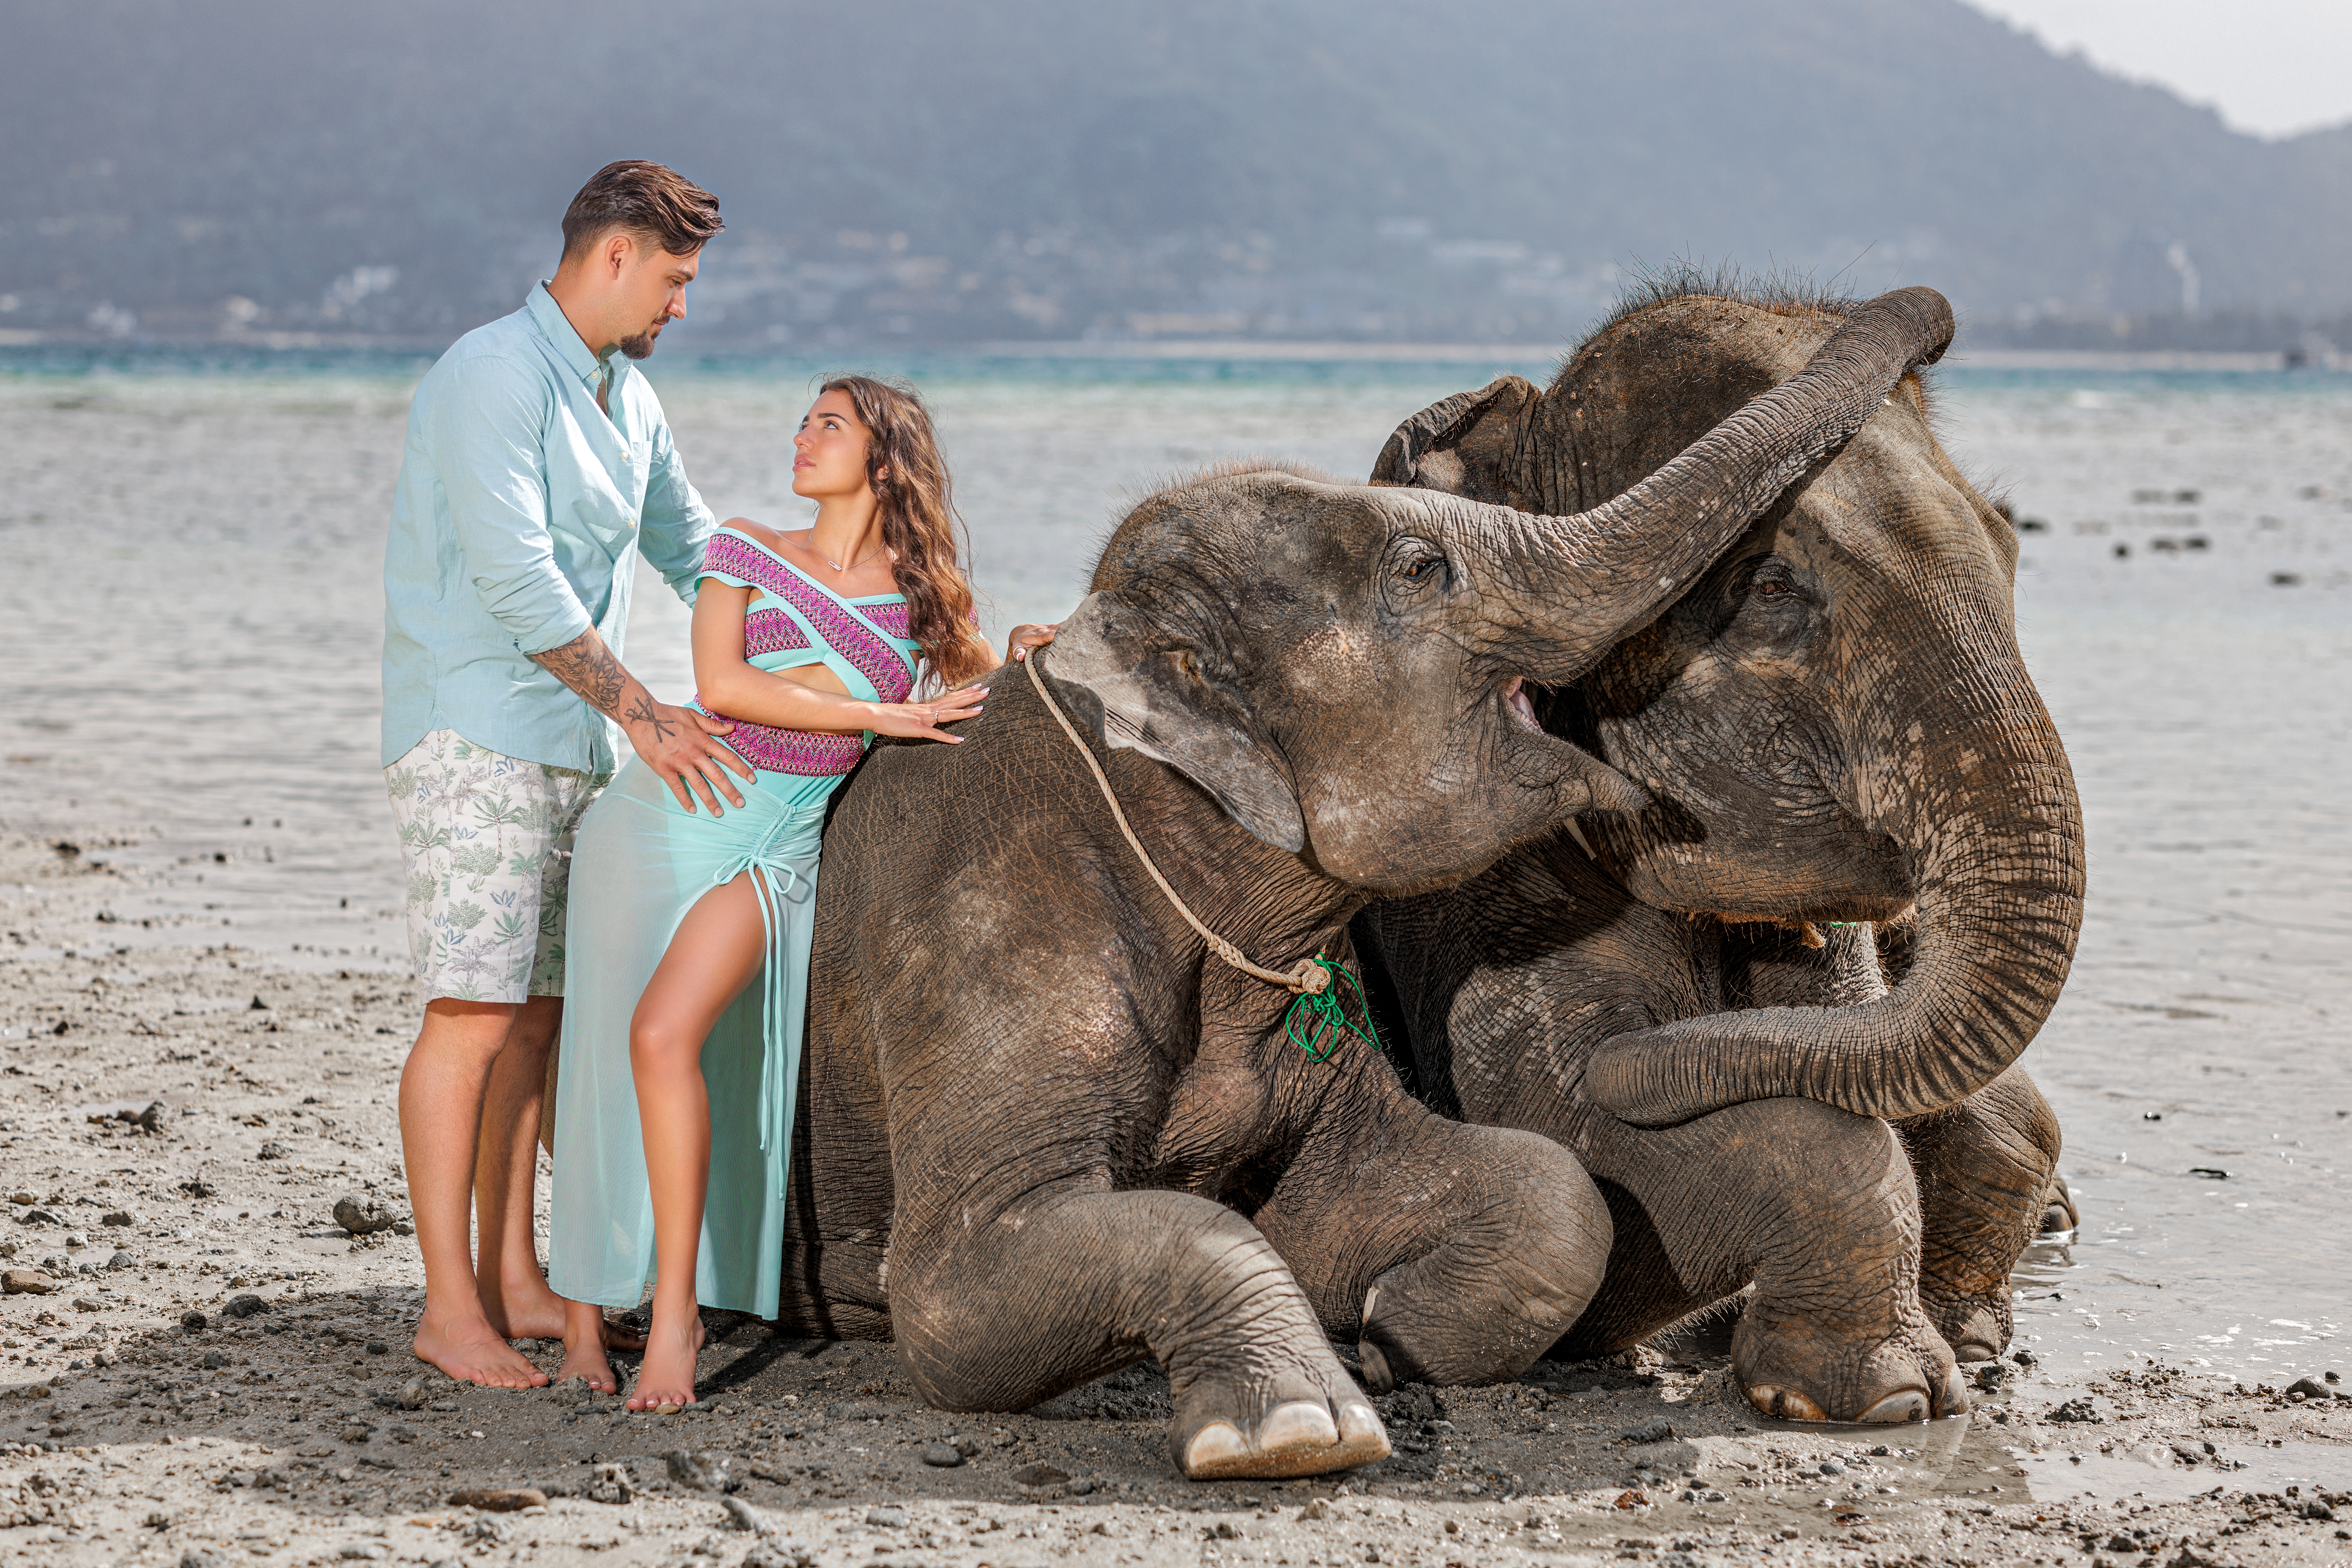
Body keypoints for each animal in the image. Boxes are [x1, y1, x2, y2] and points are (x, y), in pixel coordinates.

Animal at [759, 287, 1957, 1479]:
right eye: (1422, 568)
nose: (1929, 321)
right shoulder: (984, 924)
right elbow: (958, 1295)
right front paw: (1298, 1428)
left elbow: (1535, 1191)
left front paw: (1377, 1344)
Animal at [1352, 279, 2085, 1425]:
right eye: (1771, 583)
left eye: (2011, 549)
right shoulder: (1474, 884)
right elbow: (1552, 1127)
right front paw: (1891, 1399)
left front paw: (1962, 1353)